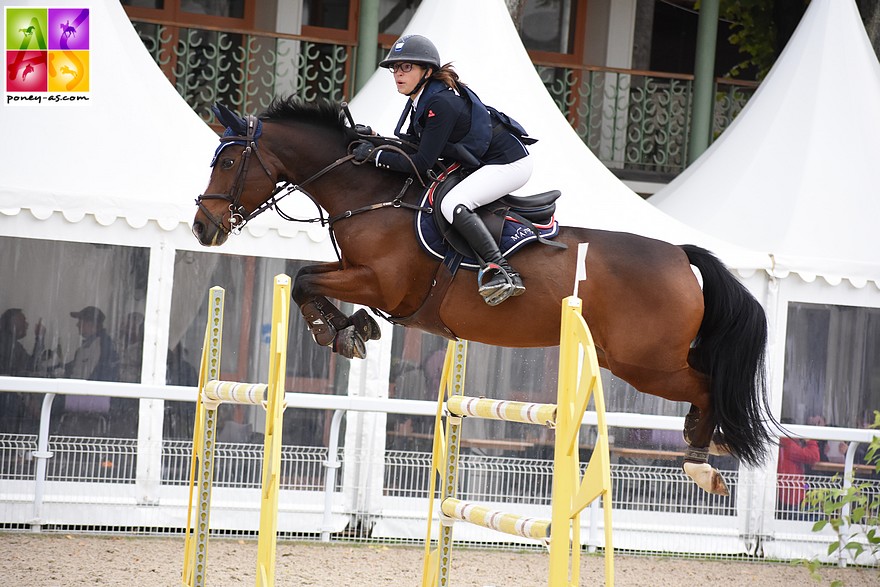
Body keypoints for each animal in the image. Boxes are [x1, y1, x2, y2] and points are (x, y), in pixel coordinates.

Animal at [194, 96, 776, 496]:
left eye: (227, 163)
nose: (203, 227)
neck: (373, 194)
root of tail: (680, 254)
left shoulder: (382, 283)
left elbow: (305, 278)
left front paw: (337, 331)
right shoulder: (356, 272)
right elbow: (307, 276)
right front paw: (348, 329)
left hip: (646, 364)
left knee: (707, 385)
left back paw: (701, 459)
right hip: (635, 358)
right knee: (707, 382)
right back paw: (707, 444)